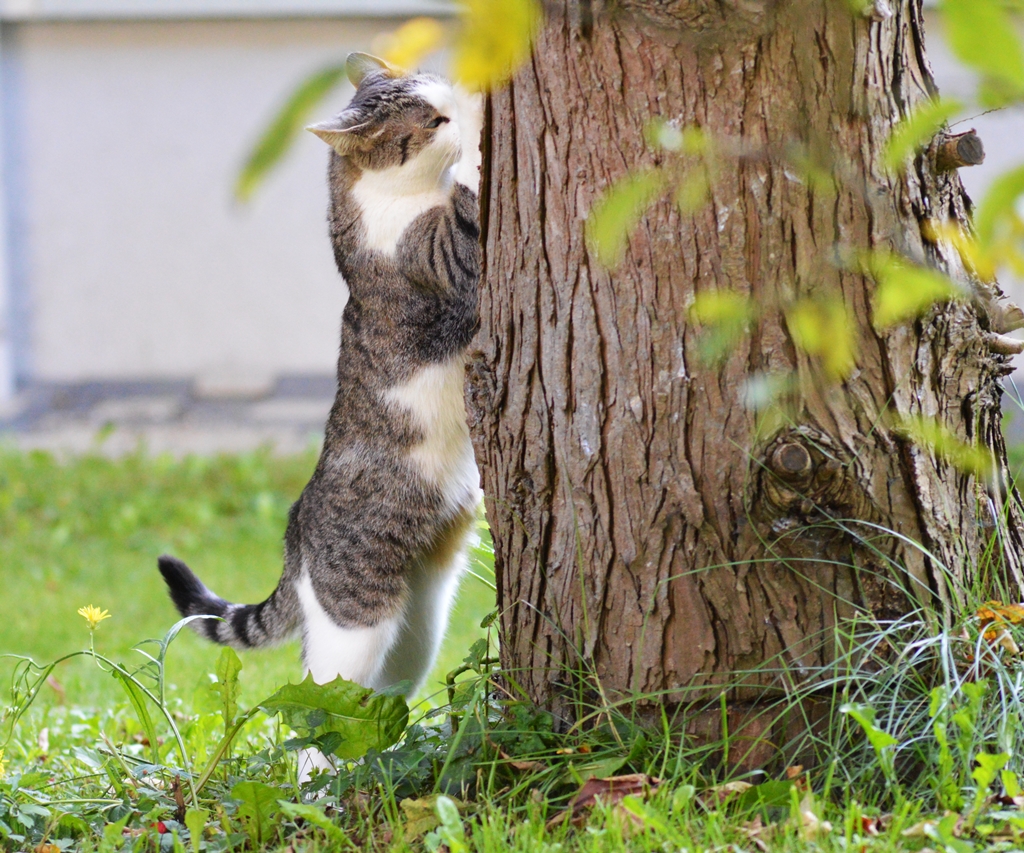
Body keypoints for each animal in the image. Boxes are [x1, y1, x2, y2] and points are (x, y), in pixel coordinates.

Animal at [156, 53, 483, 712]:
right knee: (314, 701)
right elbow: (470, 196)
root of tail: (296, 532)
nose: (456, 101)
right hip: (355, 620)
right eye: (435, 121)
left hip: (417, 628)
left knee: (375, 701)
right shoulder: (440, 255)